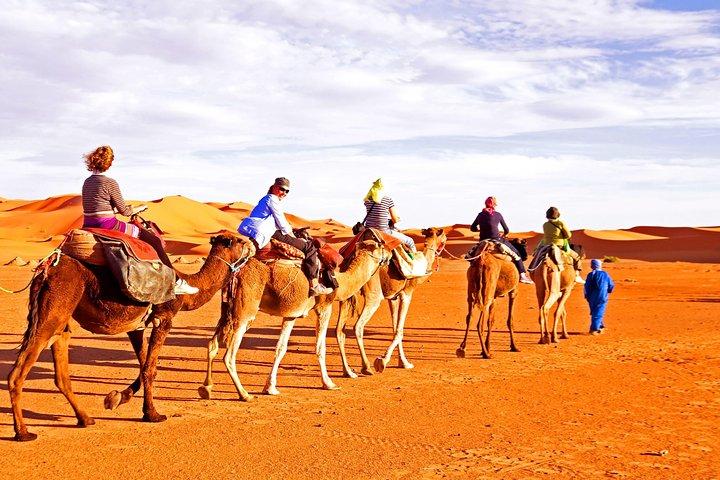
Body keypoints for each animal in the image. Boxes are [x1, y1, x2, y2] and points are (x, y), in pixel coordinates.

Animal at [7, 230, 254, 442]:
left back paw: (85, 418)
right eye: (239, 240)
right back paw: (23, 432)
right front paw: (152, 414)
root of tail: (46, 269)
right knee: (19, 371)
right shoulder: (164, 318)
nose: (253, 244)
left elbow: (144, 365)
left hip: (61, 317)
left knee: (61, 366)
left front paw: (117, 398)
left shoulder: (136, 326)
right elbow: (150, 368)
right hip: (54, 309)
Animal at [198, 231, 390, 401]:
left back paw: (206, 388)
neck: (341, 281)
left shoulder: (291, 315)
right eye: (381, 246)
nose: (389, 254)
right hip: (245, 310)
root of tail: (236, 271)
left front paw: (270, 388)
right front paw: (329, 383)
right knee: (229, 355)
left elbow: (280, 348)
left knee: (212, 344)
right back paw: (244, 394)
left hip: (226, 309)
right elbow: (320, 347)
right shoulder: (324, 306)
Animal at [335, 228, 447, 377]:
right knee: (358, 326)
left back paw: (348, 371)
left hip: (347, 294)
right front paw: (382, 361)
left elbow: (395, 328)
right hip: (374, 294)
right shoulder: (407, 293)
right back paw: (366, 367)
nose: (444, 244)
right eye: (444, 238)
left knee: (339, 331)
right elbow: (400, 330)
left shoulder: (393, 297)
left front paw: (403, 362)